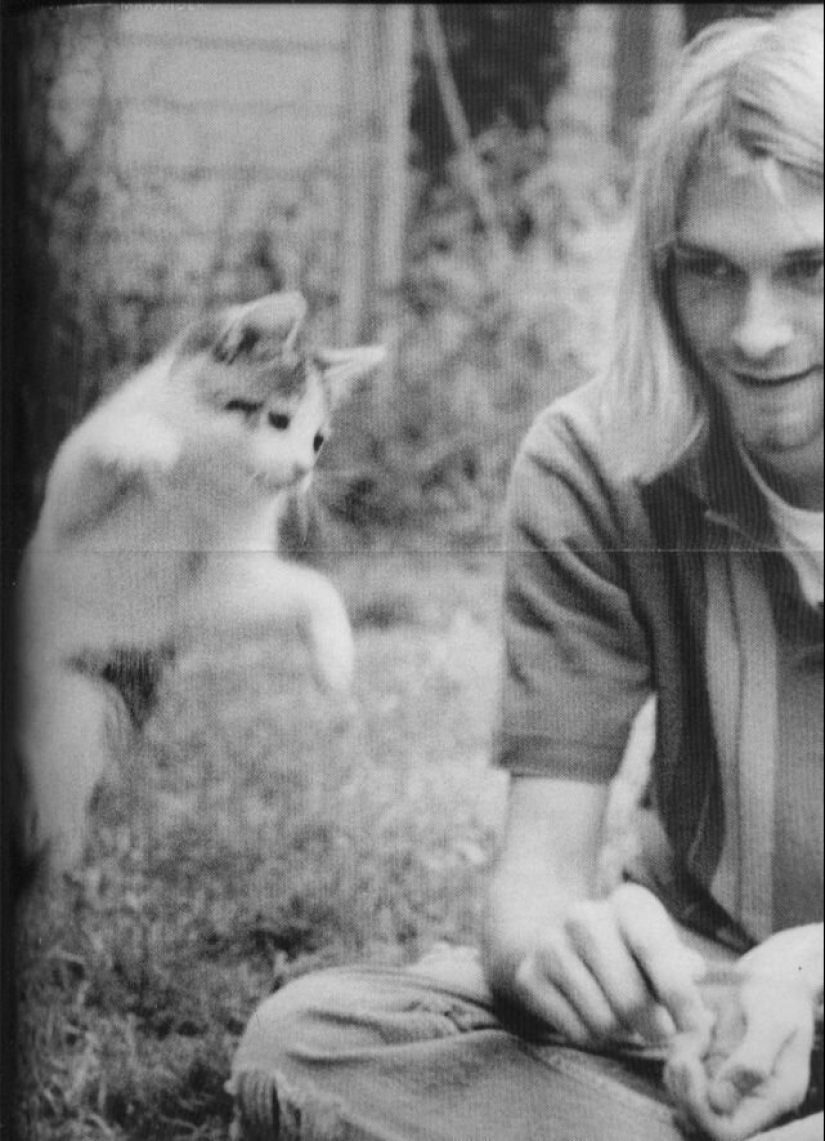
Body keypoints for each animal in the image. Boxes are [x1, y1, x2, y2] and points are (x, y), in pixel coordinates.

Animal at [13, 292, 387, 871]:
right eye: (278, 419)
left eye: (318, 441)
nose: (301, 472)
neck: (205, 484)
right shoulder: (68, 518)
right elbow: (96, 459)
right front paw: (144, 443)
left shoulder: (204, 590)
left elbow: (309, 587)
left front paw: (335, 661)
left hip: (81, 702)